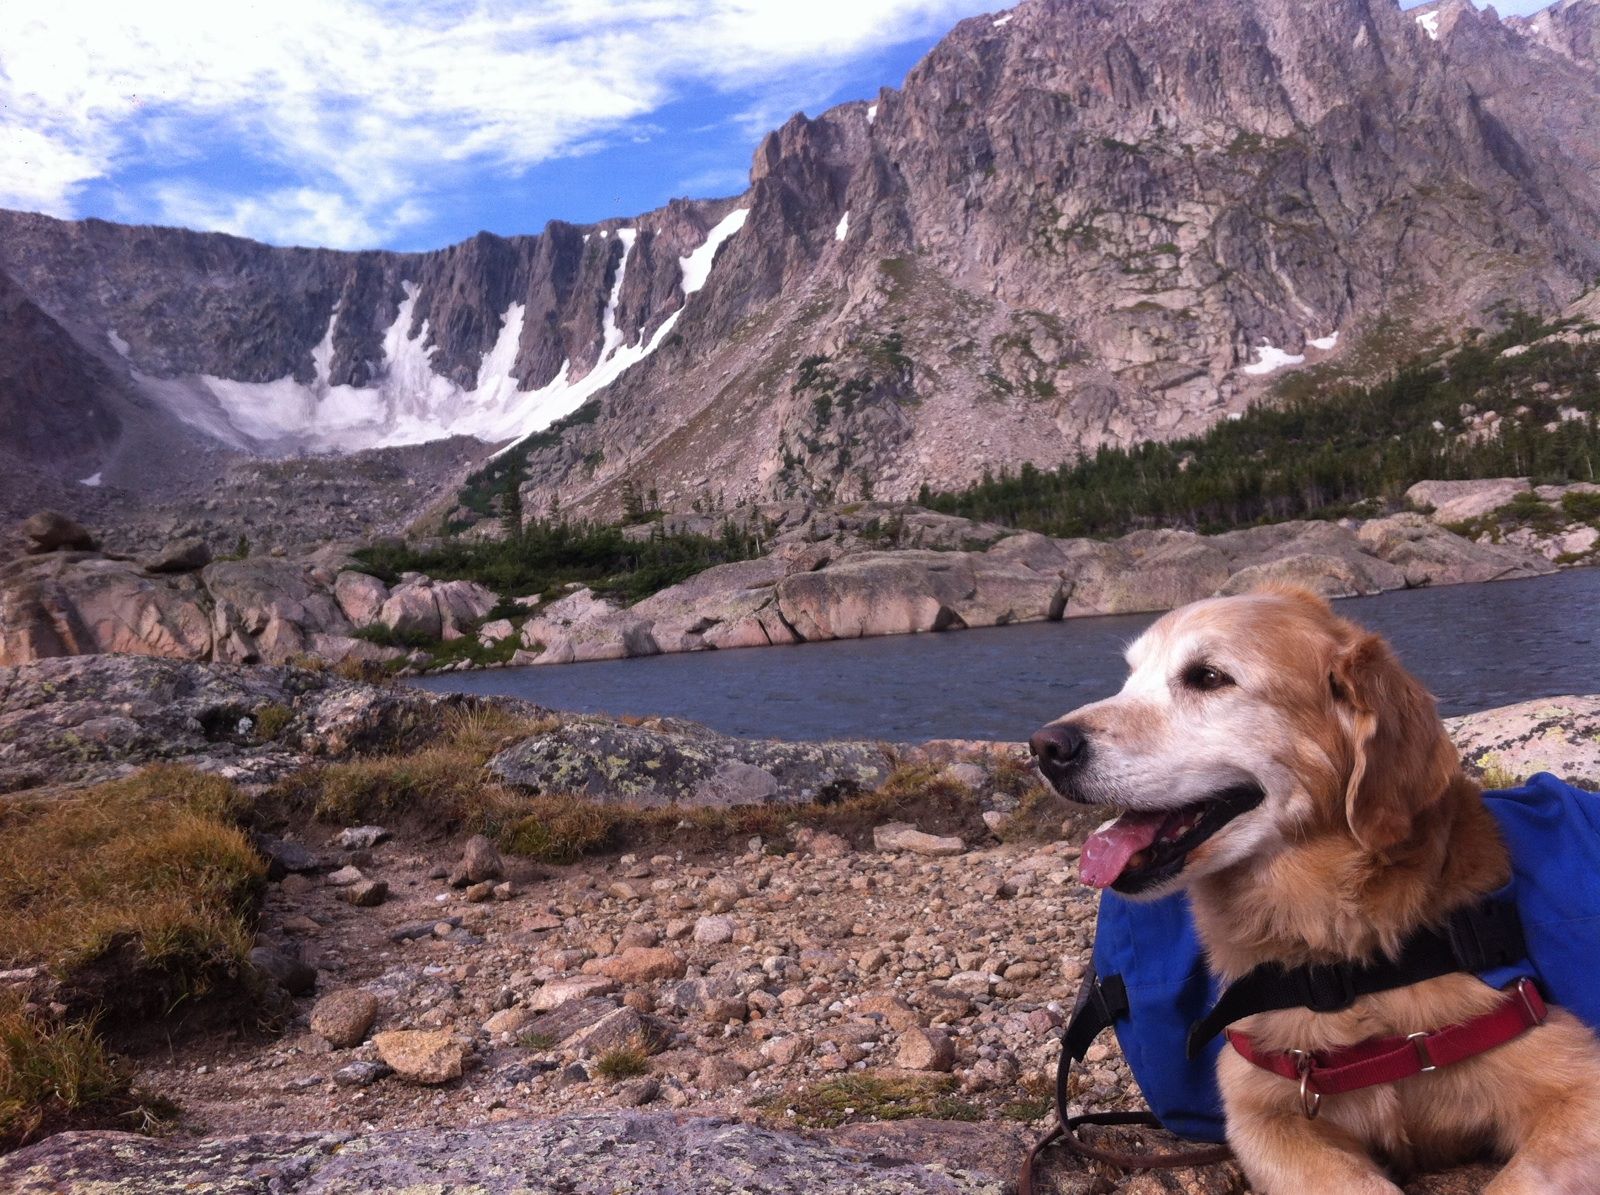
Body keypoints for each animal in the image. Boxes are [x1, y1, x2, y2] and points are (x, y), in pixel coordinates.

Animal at [1024, 588, 1600, 1195]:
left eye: (1208, 677)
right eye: (1131, 677)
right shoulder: (1261, 1112)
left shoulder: (1573, 1078)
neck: (1345, 961)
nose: (1044, 747)